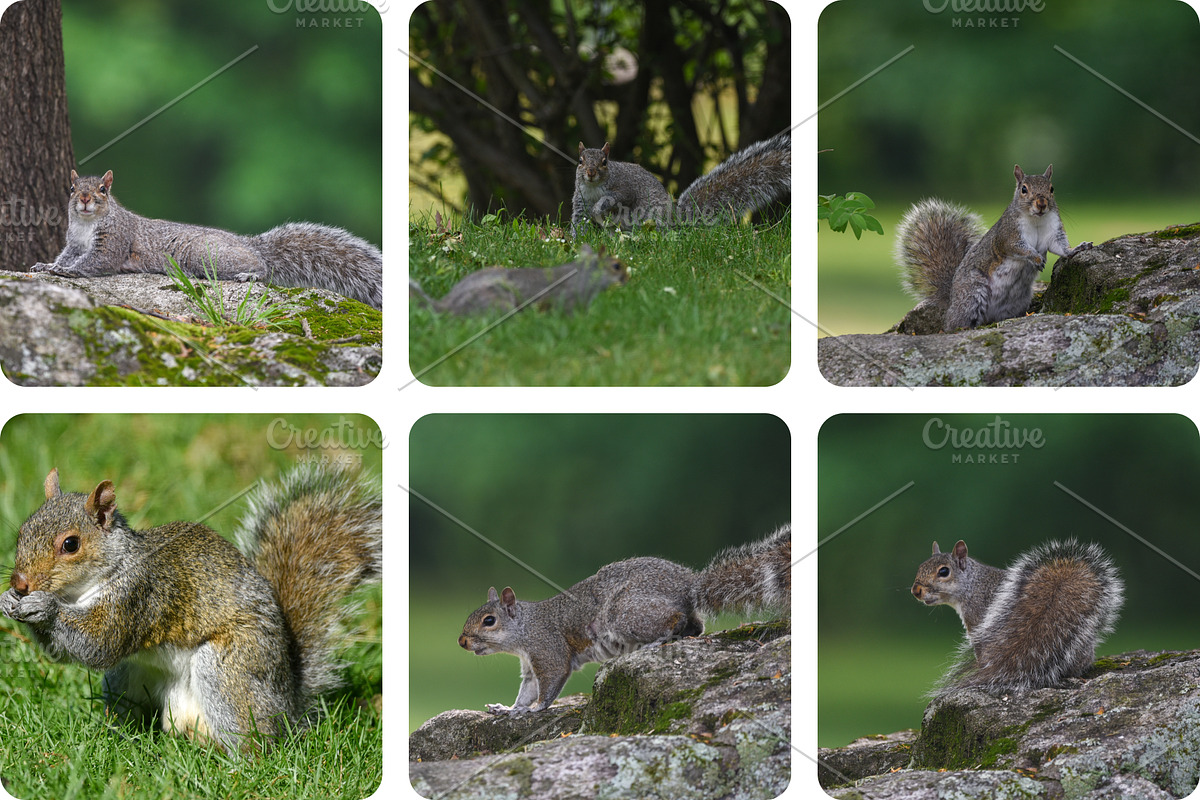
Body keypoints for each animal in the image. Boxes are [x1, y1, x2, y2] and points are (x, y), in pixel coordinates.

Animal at [0, 463, 381, 755]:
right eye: (23, 531)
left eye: (70, 544)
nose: (20, 583)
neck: (81, 592)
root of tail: (287, 703)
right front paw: (8, 600)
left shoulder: (140, 595)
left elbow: (99, 642)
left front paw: (44, 606)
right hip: (127, 677)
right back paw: (117, 737)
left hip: (229, 672)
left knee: (254, 740)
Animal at [29, 170, 383, 309]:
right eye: (72, 188)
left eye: (103, 189)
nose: (85, 199)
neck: (87, 225)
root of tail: (249, 243)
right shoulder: (74, 243)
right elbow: (66, 255)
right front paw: (46, 266)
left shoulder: (113, 242)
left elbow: (95, 262)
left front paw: (67, 272)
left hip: (205, 254)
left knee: (262, 267)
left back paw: (249, 273)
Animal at [458, 524, 790, 714]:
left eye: (489, 621)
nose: (461, 641)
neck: (525, 629)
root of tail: (689, 585)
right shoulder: (529, 666)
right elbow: (526, 691)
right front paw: (509, 708)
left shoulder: (547, 649)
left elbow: (550, 682)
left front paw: (536, 709)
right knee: (695, 626)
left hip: (626, 614)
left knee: (675, 620)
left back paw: (656, 641)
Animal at [570, 130, 791, 236]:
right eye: (580, 161)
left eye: (604, 162)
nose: (590, 172)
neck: (593, 187)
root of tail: (675, 219)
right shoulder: (580, 200)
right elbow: (579, 220)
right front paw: (576, 242)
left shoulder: (624, 188)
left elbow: (616, 198)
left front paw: (599, 207)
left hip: (651, 215)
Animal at [895, 165, 1093, 330]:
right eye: (1024, 189)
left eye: (1051, 189)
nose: (1042, 204)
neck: (1036, 219)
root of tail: (951, 297)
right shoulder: (1007, 236)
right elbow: (1018, 248)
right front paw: (1035, 257)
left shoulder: (1053, 232)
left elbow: (1060, 247)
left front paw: (1078, 248)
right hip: (973, 293)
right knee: (954, 322)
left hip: (1017, 300)